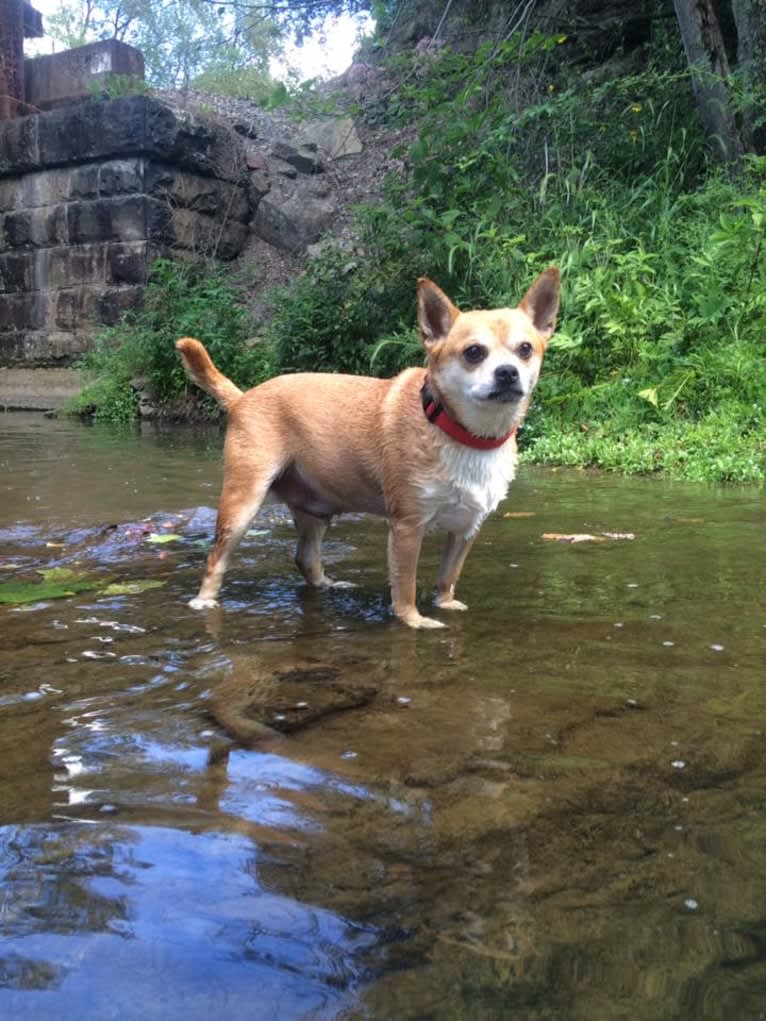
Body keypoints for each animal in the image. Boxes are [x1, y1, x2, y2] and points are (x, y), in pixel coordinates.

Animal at [179, 267, 563, 624]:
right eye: (473, 353)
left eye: (525, 350)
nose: (507, 372)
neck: (461, 432)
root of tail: (243, 398)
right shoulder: (407, 527)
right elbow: (405, 585)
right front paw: (414, 621)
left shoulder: (466, 528)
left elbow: (448, 575)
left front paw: (444, 604)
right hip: (243, 504)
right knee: (215, 558)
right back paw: (203, 601)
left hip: (315, 510)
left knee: (305, 557)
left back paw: (327, 585)